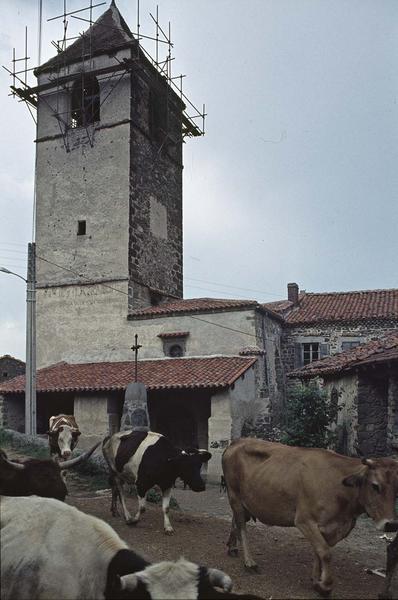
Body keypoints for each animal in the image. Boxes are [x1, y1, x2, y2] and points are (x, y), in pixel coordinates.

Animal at [222, 438, 398, 596]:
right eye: (375, 485)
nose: (391, 524)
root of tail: (236, 442)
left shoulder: (331, 528)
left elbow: (319, 551)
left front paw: (316, 580)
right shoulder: (304, 521)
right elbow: (325, 553)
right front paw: (325, 585)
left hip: (245, 501)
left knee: (236, 521)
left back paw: (232, 547)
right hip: (234, 495)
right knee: (241, 526)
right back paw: (249, 562)